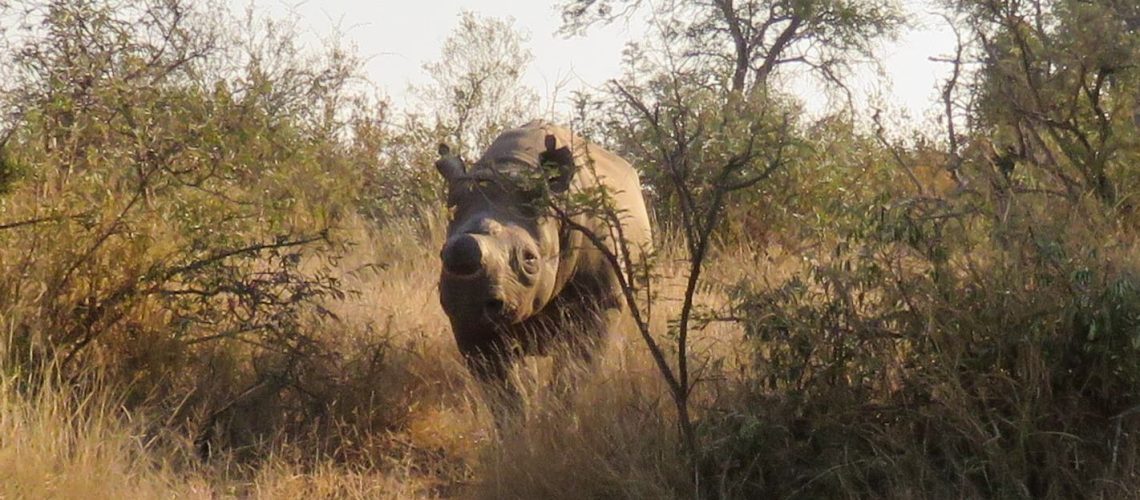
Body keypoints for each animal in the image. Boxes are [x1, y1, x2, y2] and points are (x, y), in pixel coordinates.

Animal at [433, 120, 652, 407]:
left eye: (530, 259)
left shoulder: (601, 303)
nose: (467, 301)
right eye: (442, 254)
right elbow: (503, 389)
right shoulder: (471, 323)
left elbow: (576, 370)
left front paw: (559, 412)